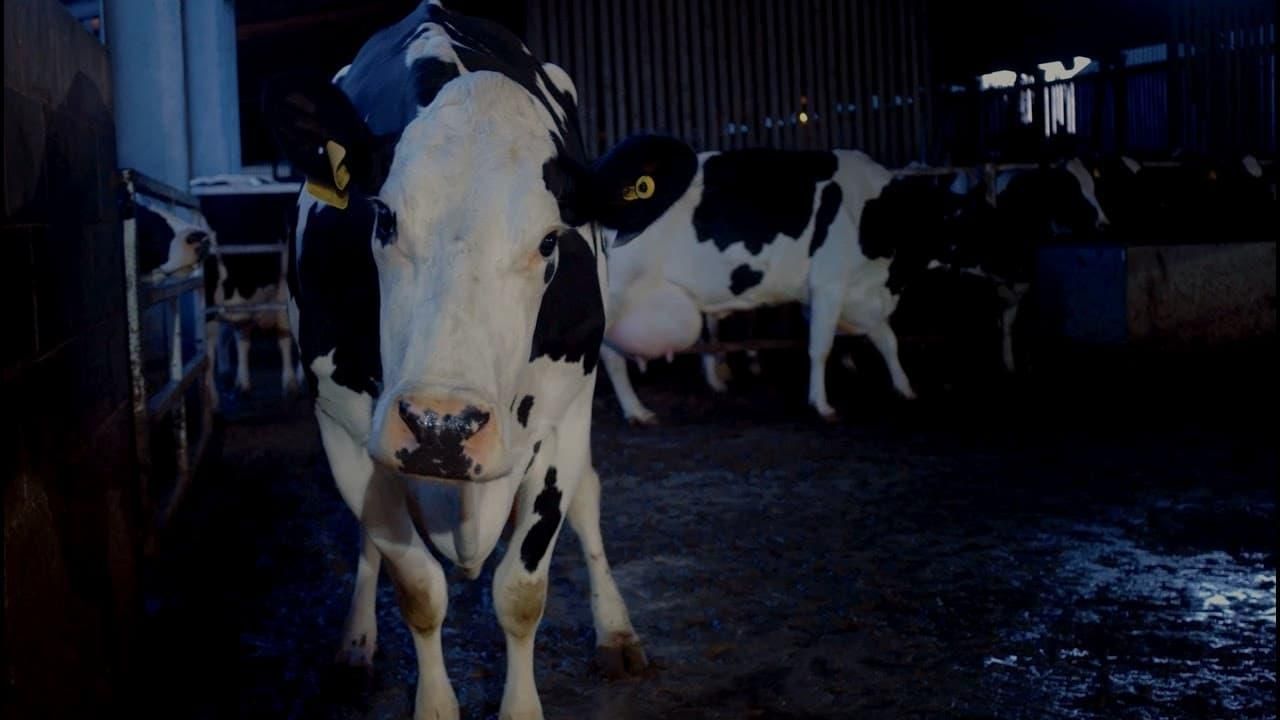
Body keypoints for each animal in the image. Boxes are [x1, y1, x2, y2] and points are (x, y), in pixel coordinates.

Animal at [260, 3, 694, 718]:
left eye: (549, 241)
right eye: (384, 219)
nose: (442, 426)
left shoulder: (557, 419)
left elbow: (520, 591)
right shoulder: (344, 426)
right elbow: (416, 586)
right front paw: (430, 700)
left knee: (588, 497)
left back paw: (616, 632)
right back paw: (354, 648)